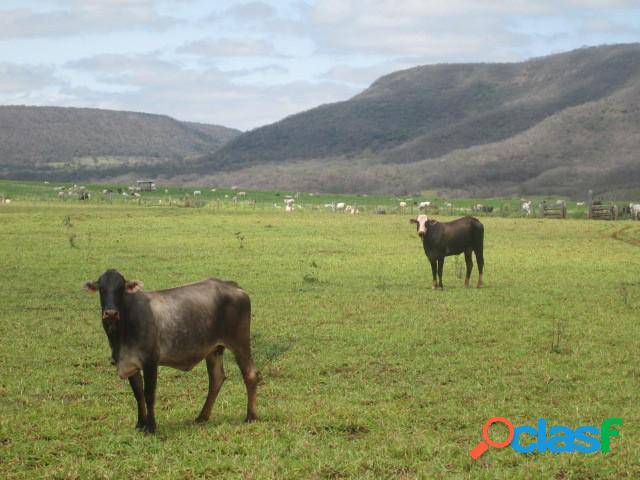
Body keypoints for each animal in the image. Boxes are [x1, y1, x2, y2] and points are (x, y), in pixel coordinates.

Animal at [82, 270, 258, 436]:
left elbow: (149, 394)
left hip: (240, 343)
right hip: (214, 350)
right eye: (101, 288)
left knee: (250, 375)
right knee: (216, 379)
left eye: (121, 288)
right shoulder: (130, 363)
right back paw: (202, 417)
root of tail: (233, 286)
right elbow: (138, 393)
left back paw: (251, 416)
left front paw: (151, 427)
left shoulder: (150, 362)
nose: (111, 313)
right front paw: (140, 424)